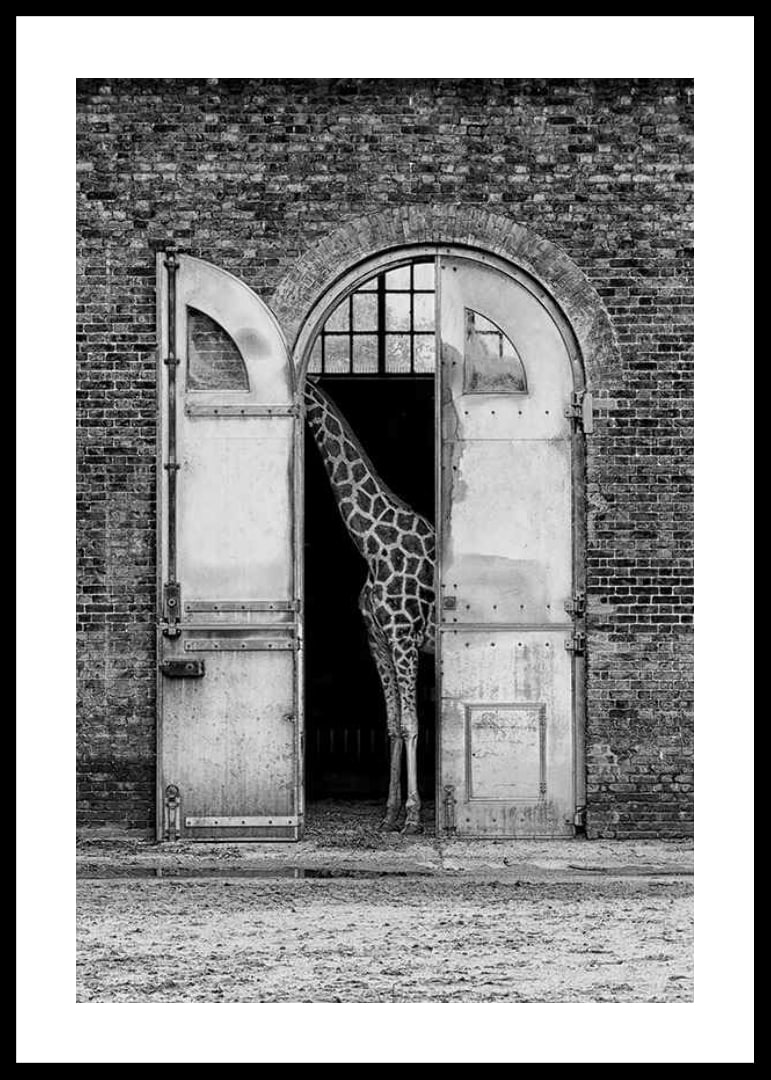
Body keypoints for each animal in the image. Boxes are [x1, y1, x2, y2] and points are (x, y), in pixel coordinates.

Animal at [304, 379, 436, 834]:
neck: (372, 544)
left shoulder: (404, 636)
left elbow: (412, 723)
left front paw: (413, 816)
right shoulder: (377, 639)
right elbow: (393, 725)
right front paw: (390, 812)